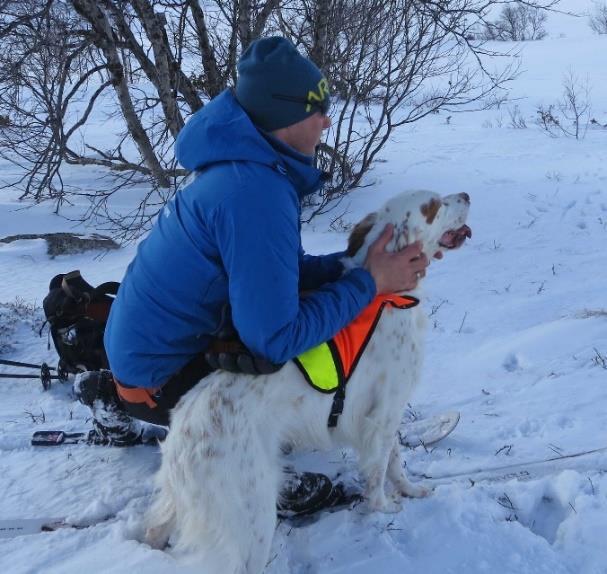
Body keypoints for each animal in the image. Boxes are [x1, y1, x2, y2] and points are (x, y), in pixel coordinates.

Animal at [145, 191, 472, 572]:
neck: (387, 297)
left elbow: (395, 463)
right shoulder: (383, 412)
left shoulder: (385, 416)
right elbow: (380, 470)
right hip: (253, 516)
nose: (466, 195)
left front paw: (411, 490)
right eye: (433, 207)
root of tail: (182, 435)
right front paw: (385, 507)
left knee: (154, 528)